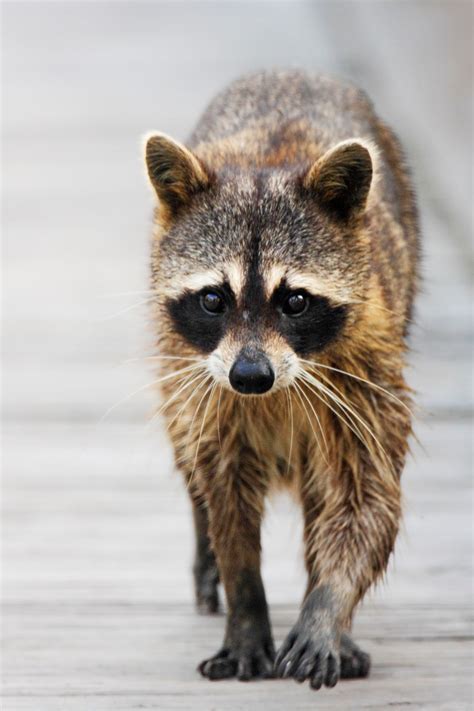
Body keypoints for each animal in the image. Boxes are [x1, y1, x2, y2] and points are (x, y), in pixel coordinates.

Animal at [143, 71, 418, 688]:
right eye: (213, 299)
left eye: (294, 301)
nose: (249, 376)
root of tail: (291, 71)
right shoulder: (206, 389)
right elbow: (226, 500)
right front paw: (247, 605)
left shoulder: (366, 373)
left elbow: (367, 499)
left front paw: (328, 607)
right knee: (192, 466)